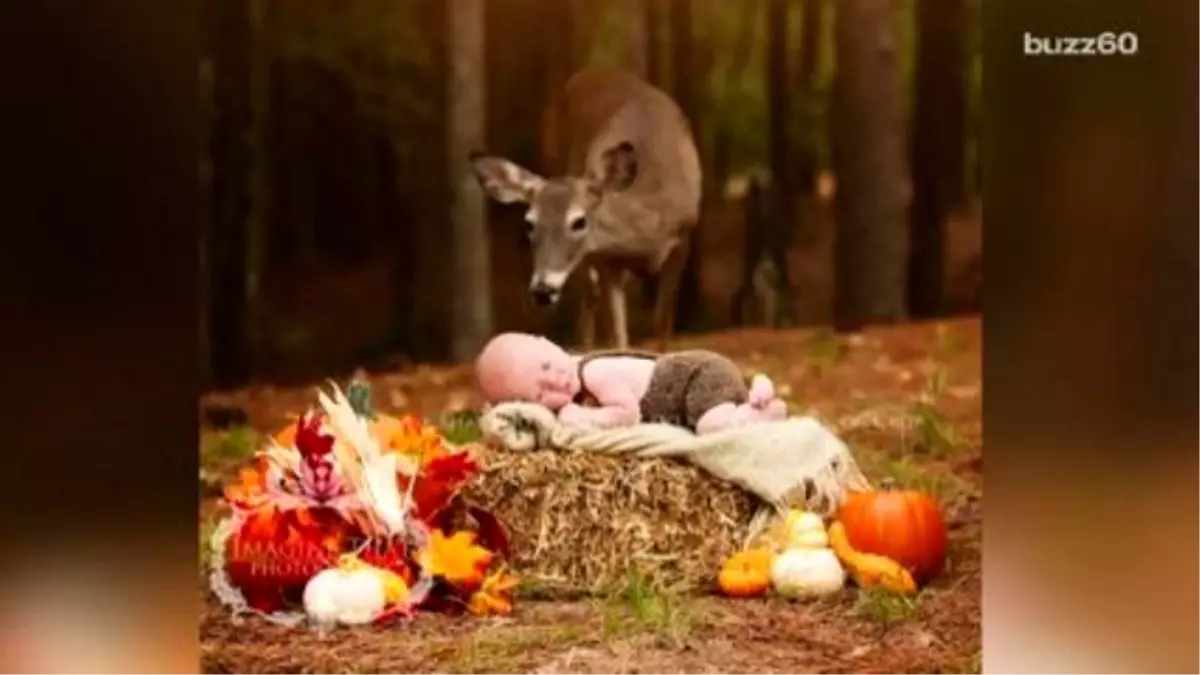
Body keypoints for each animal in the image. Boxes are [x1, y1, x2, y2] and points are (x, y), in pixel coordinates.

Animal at [468, 66, 700, 353]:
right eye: (529, 223)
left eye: (579, 221)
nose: (542, 290)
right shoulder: (605, 258)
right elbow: (619, 335)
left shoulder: (682, 242)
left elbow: (661, 325)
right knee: (589, 297)